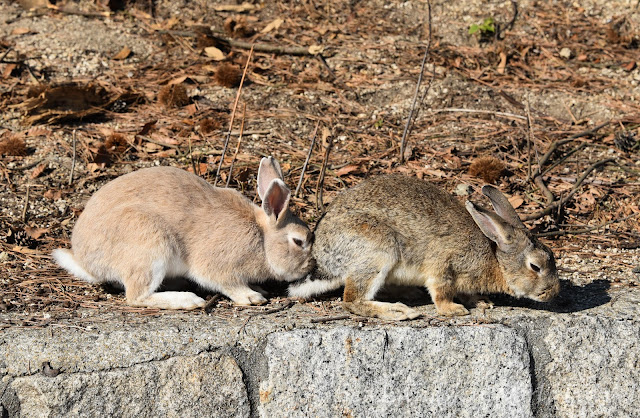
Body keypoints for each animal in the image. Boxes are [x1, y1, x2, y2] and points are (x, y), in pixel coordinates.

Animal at [53, 157, 314, 310]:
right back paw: (188, 300)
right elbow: (227, 283)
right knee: (137, 296)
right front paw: (252, 297)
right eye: (298, 241)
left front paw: (258, 289)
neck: (262, 238)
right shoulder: (217, 266)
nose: (311, 267)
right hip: (150, 244)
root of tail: (84, 260)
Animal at [288, 174, 556, 320]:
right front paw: (453, 310)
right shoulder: (444, 265)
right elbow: (441, 290)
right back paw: (399, 311)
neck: (495, 260)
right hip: (378, 250)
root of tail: (323, 259)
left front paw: (481, 302)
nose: (554, 293)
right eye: (535, 266)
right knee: (352, 300)